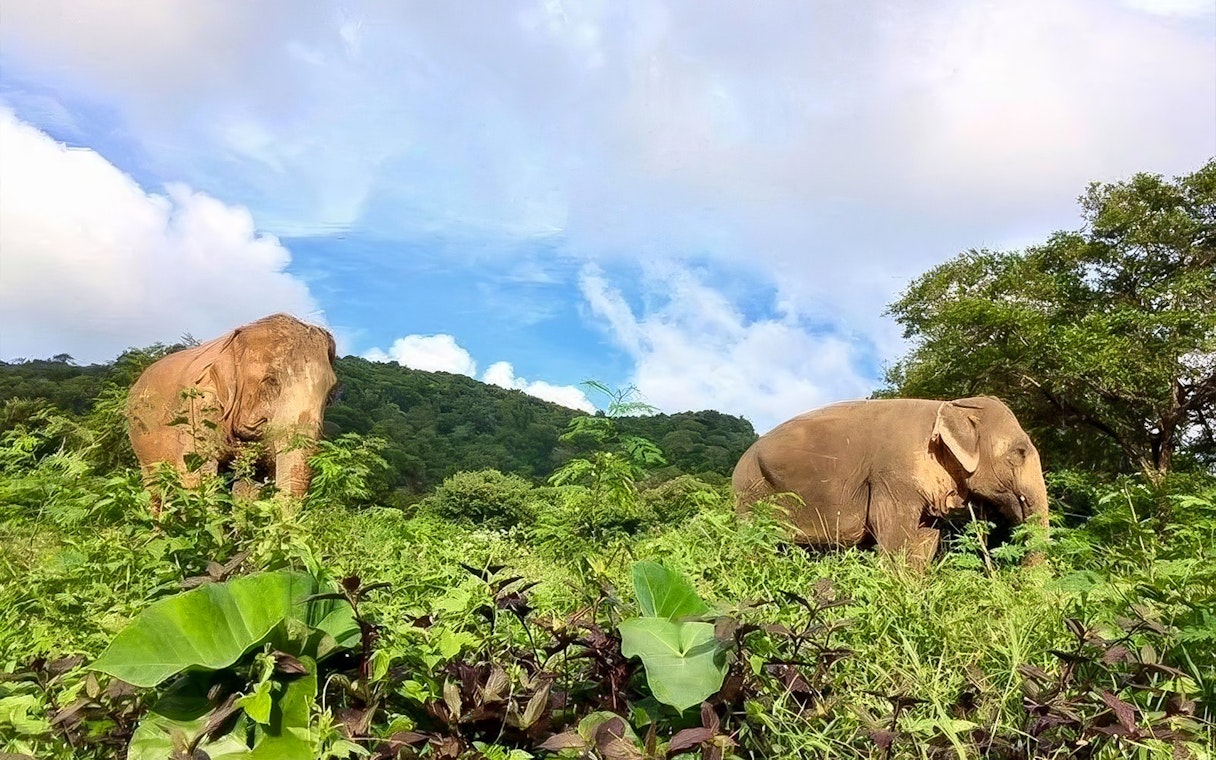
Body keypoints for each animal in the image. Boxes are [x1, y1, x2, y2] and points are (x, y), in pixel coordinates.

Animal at [732, 397, 1049, 568]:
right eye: (1019, 453)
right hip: (751, 492)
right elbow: (893, 533)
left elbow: (925, 539)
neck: (951, 405)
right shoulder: (892, 475)